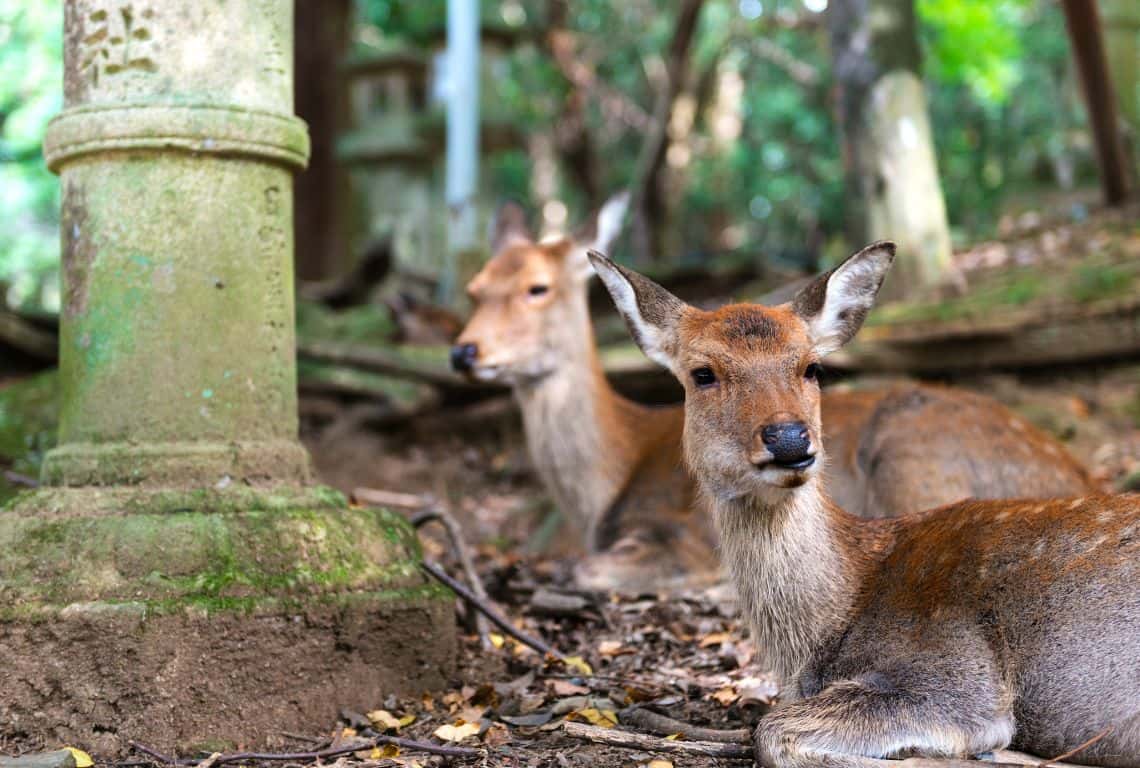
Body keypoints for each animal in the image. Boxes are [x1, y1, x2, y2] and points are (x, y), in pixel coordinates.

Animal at [451, 197, 1094, 592]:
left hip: (915, 461)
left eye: (538, 287)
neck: (610, 477)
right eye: (475, 288)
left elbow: (573, 567)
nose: (464, 352)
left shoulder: (684, 535)